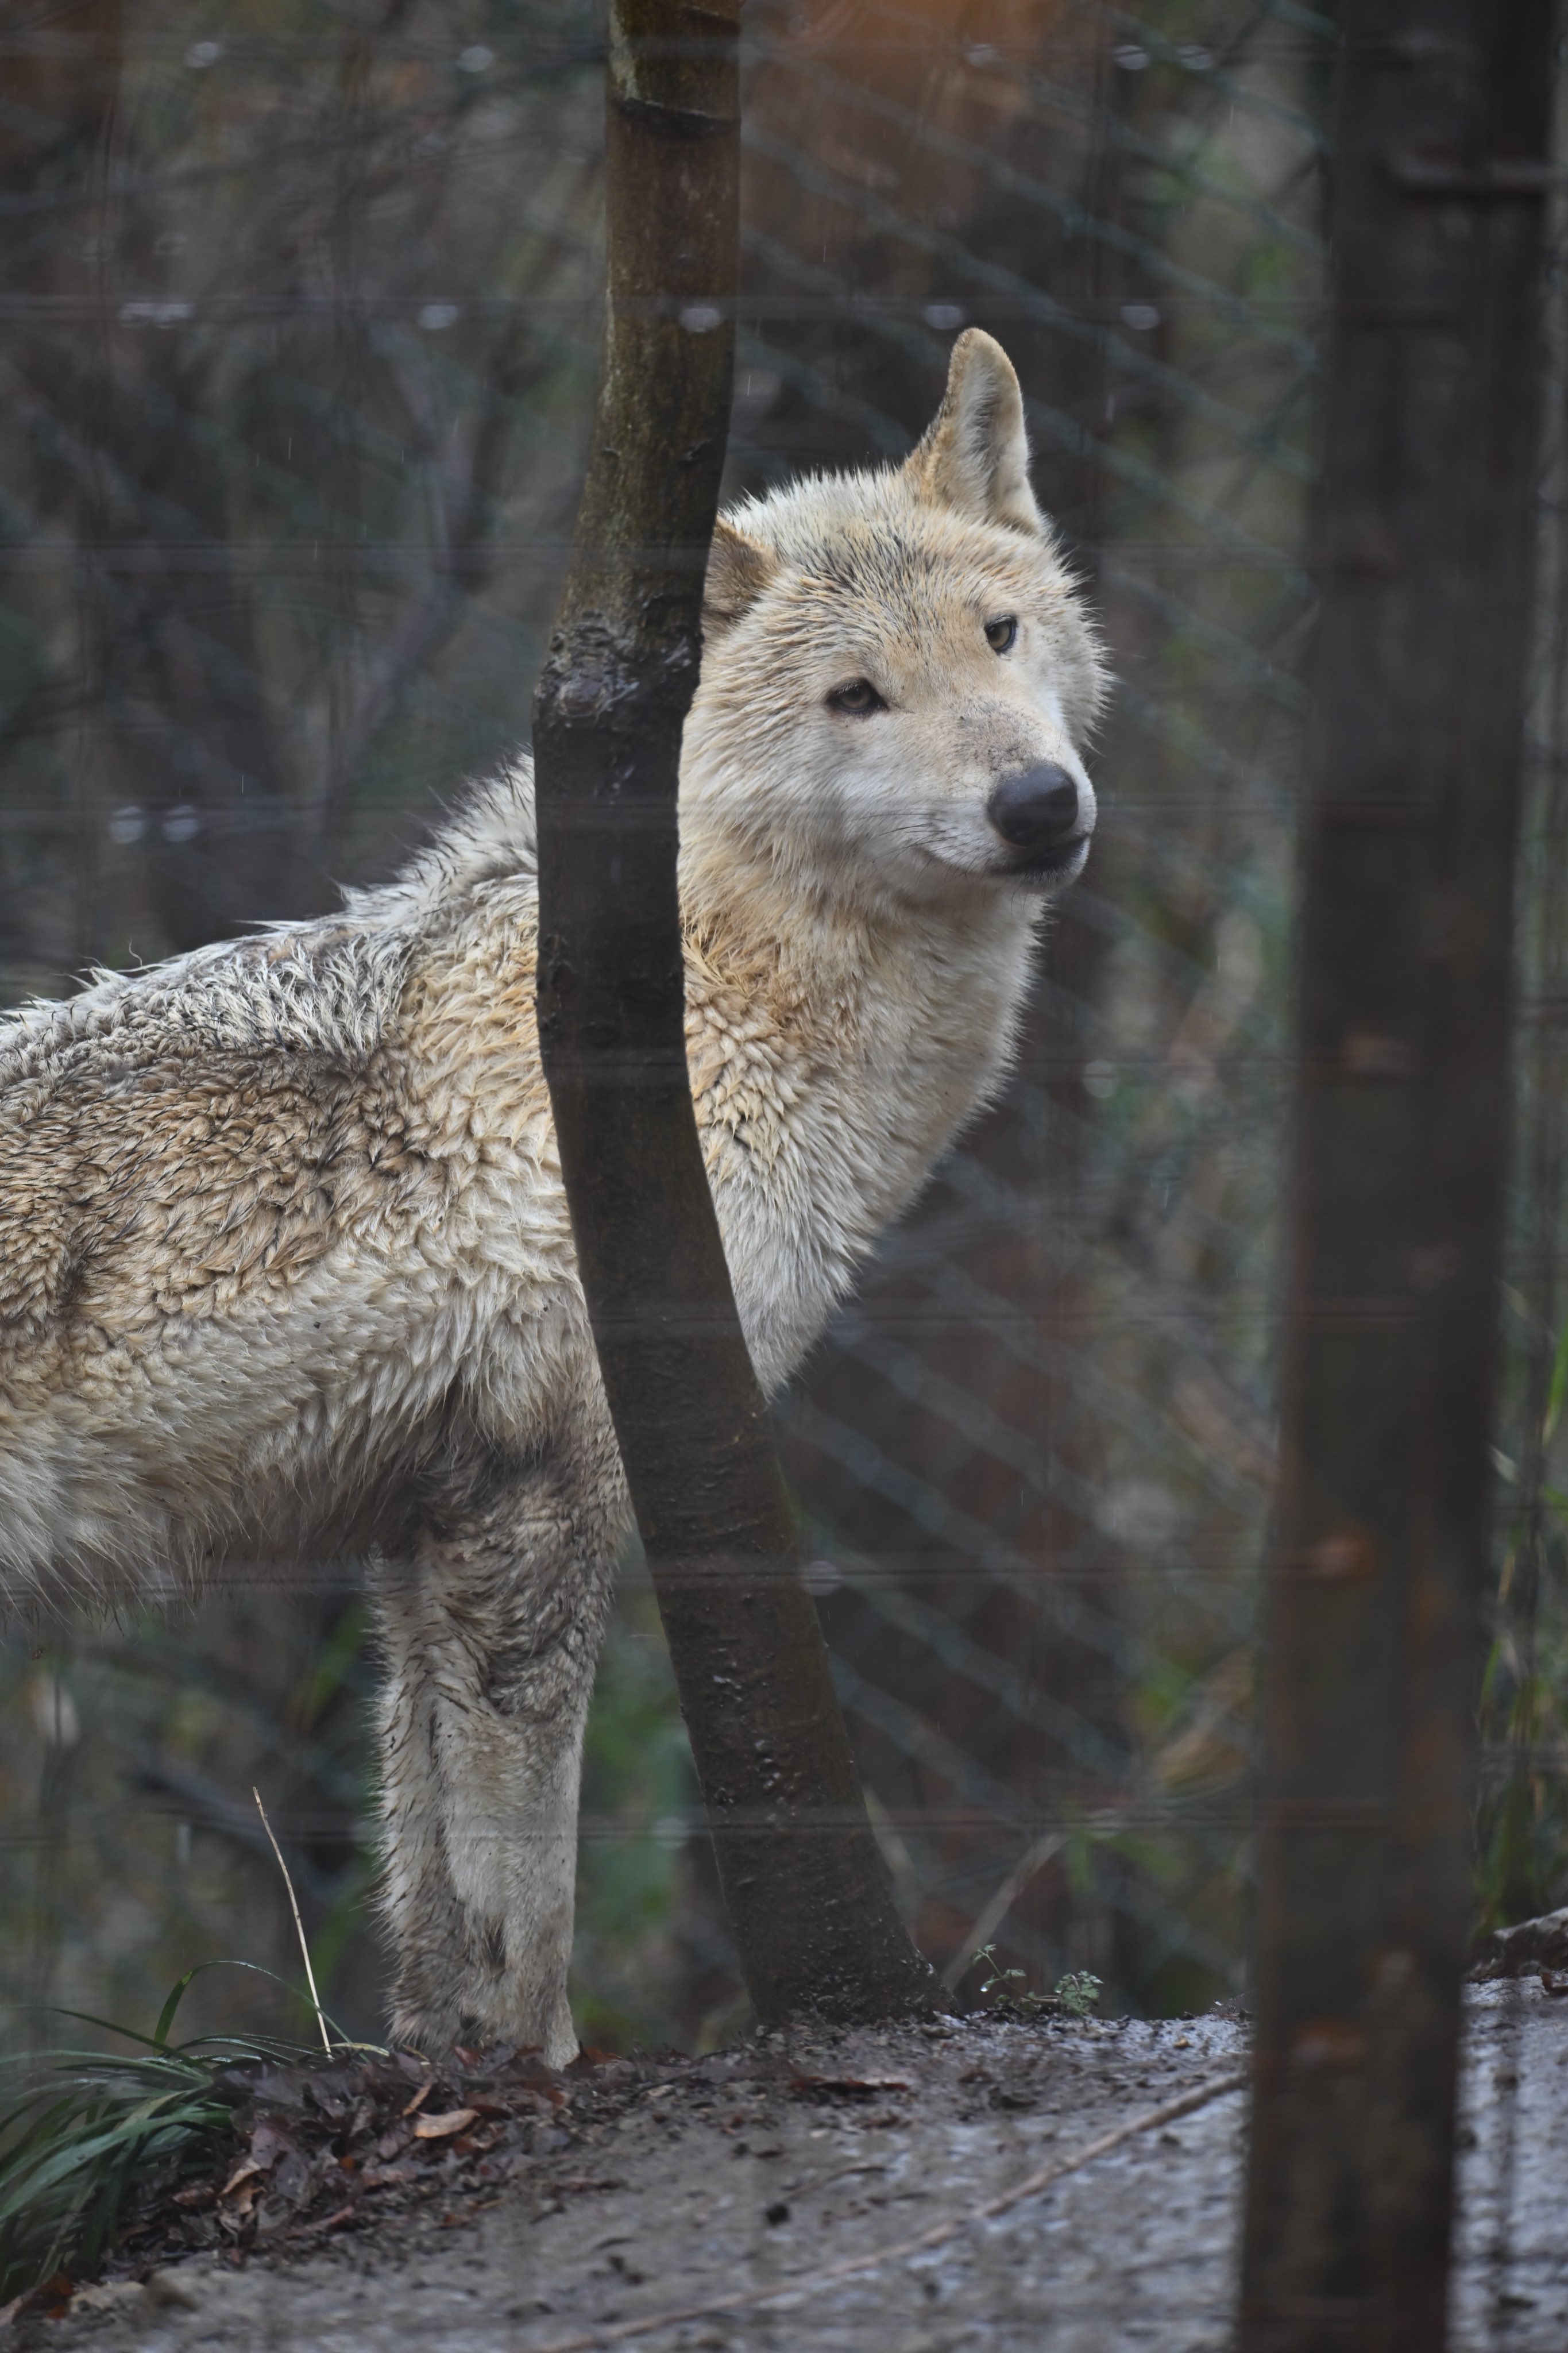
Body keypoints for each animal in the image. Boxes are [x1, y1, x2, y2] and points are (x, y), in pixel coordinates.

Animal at [0, 331, 1104, 2066]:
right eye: (857, 697)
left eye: (999, 636)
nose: (1039, 806)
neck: (702, 1006)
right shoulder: (529, 1497)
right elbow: (525, 1894)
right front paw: (536, 2076)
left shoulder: (417, 1534)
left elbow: (433, 1904)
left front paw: (437, 2075)